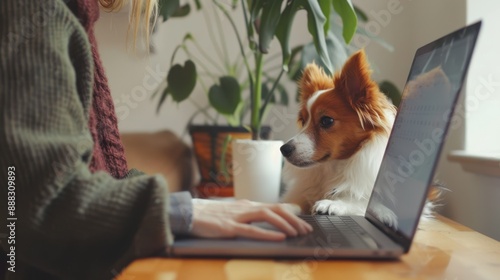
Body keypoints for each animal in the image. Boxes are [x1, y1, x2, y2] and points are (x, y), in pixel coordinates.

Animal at [280, 49, 444, 225]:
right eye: (303, 121)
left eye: (326, 121)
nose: (283, 149)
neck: (336, 166)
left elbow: (363, 201)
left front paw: (335, 203)